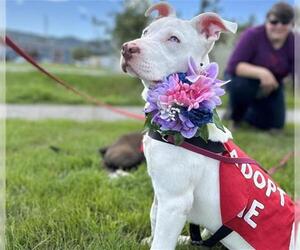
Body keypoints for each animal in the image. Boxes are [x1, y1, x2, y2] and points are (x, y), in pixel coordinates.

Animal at [120, 2, 294, 250]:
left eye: (174, 39)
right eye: (145, 32)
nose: (127, 48)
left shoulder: (175, 201)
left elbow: (162, 240)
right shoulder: (162, 191)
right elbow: (154, 216)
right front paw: (150, 239)